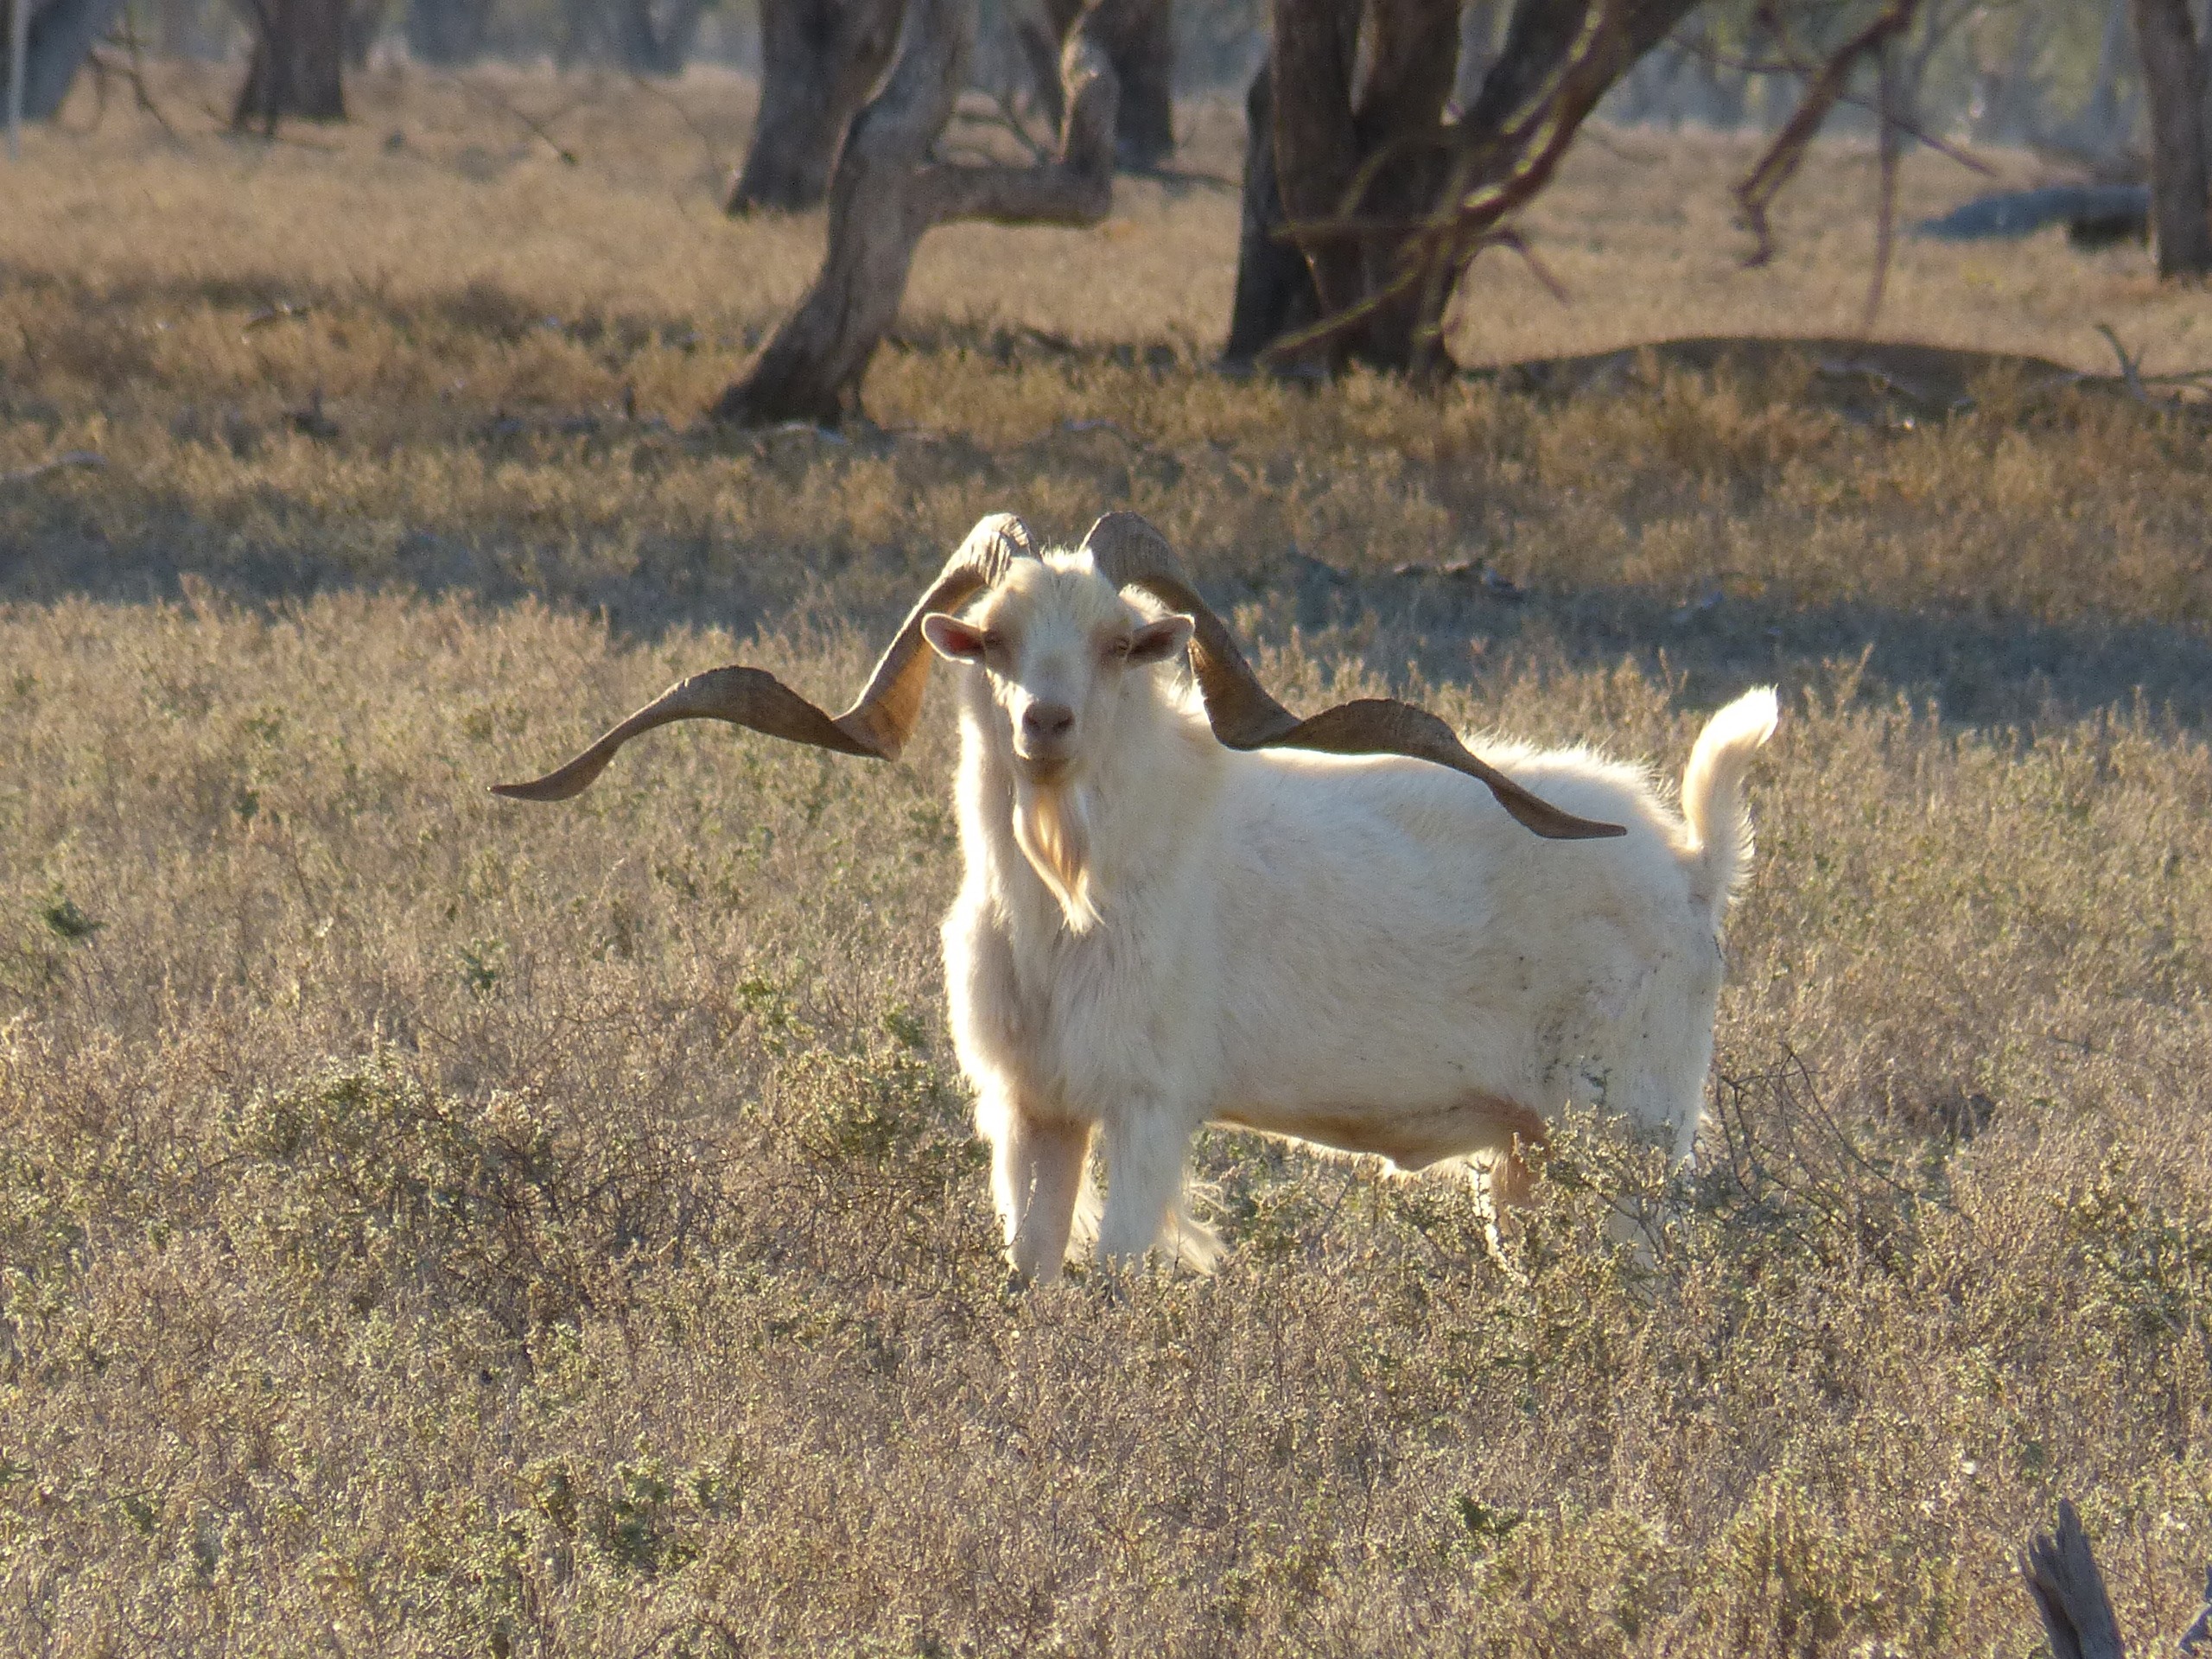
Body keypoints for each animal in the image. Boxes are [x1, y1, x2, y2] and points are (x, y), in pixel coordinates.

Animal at [502, 519, 1778, 1282]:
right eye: (995, 637)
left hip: (1629, 1140)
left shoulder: (1151, 1110)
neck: (1070, 910)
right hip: (1526, 1160)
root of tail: (1692, 865)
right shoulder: (1036, 1114)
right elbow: (1030, 1273)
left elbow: (1113, 1275)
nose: (1044, 721)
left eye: (1122, 642)